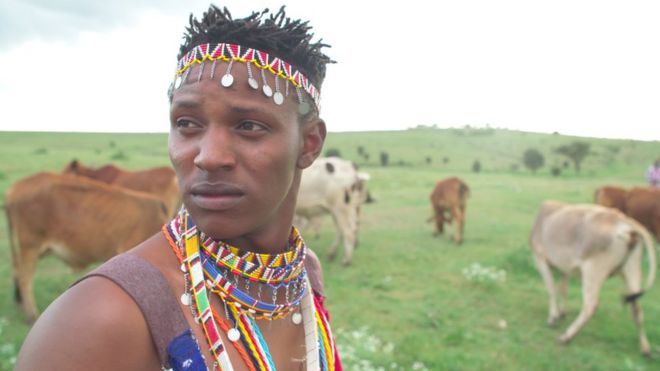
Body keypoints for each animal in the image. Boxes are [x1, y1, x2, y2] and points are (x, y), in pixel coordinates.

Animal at [528, 202, 656, 356]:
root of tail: (626, 222)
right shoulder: (565, 268)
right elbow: (563, 289)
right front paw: (562, 313)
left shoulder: (540, 258)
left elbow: (551, 289)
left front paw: (553, 318)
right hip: (631, 270)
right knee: (636, 308)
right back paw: (645, 348)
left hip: (593, 270)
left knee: (591, 305)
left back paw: (566, 337)